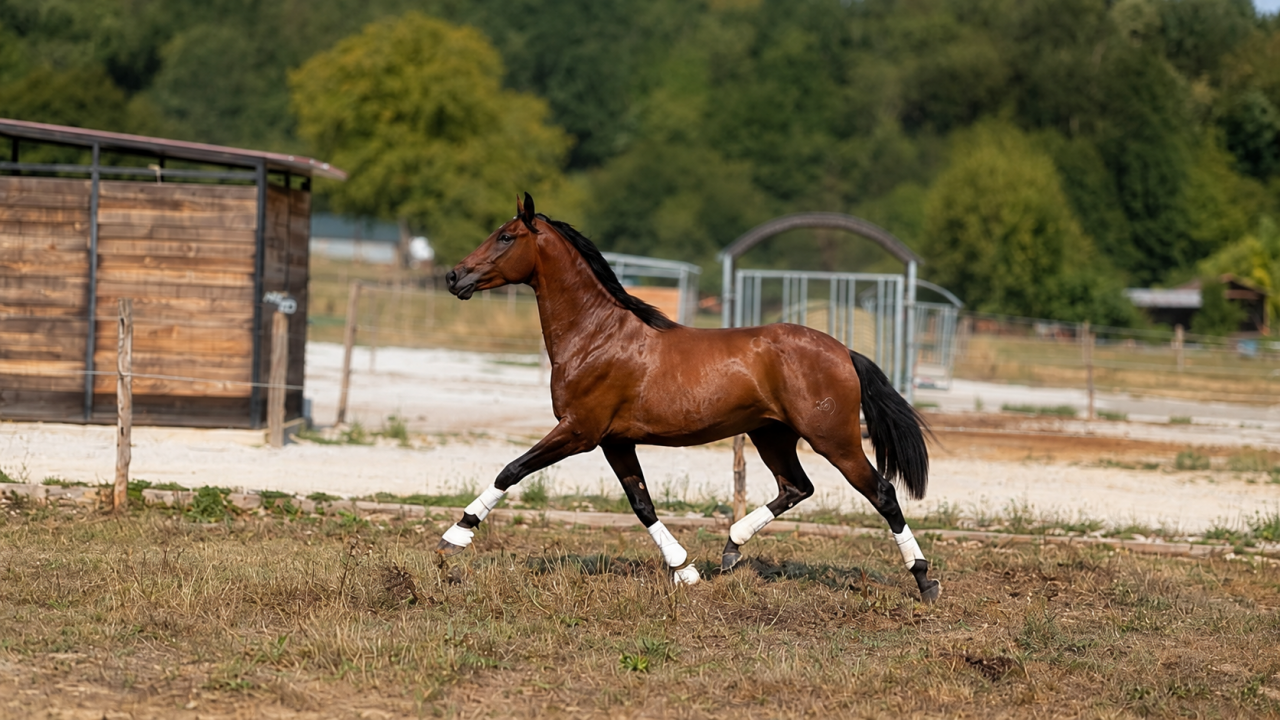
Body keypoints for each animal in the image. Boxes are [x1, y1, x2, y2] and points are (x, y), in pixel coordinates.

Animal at [439, 193, 940, 603]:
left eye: (505, 236)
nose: (453, 276)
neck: (596, 336)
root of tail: (844, 351)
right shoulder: (614, 440)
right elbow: (642, 505)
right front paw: (684, 571)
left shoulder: (579, 431)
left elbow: (511, 470)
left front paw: (455, 537)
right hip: (771, 435)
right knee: (797, 487)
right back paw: (731, 548)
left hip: (833, 438)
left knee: (881, 493)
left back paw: (924, 580)